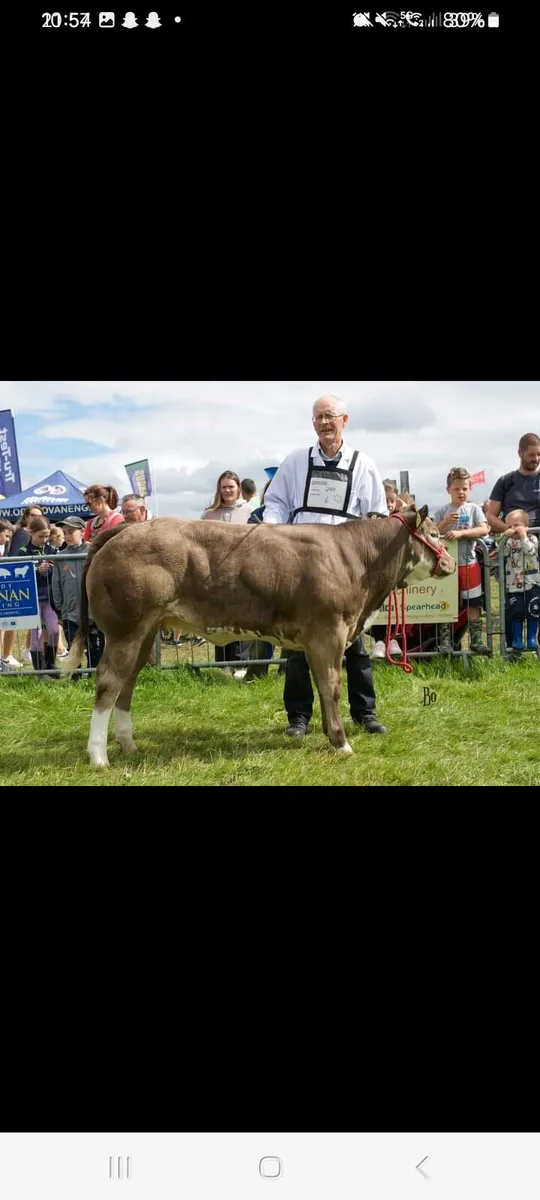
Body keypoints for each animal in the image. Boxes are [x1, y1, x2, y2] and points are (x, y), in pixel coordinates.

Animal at [61, 506, 455, 766]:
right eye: (435, 534)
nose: (451, 562)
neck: (357, 560)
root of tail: (128, 529)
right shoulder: (328, 632)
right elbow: (331, 686)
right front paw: (341, 742)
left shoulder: (320, 638)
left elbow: (321, 686)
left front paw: (330, 735)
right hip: (125, 629)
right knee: (108, 682)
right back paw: (98, 756)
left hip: (145, 632)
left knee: (126, 683)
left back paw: (128, 745)